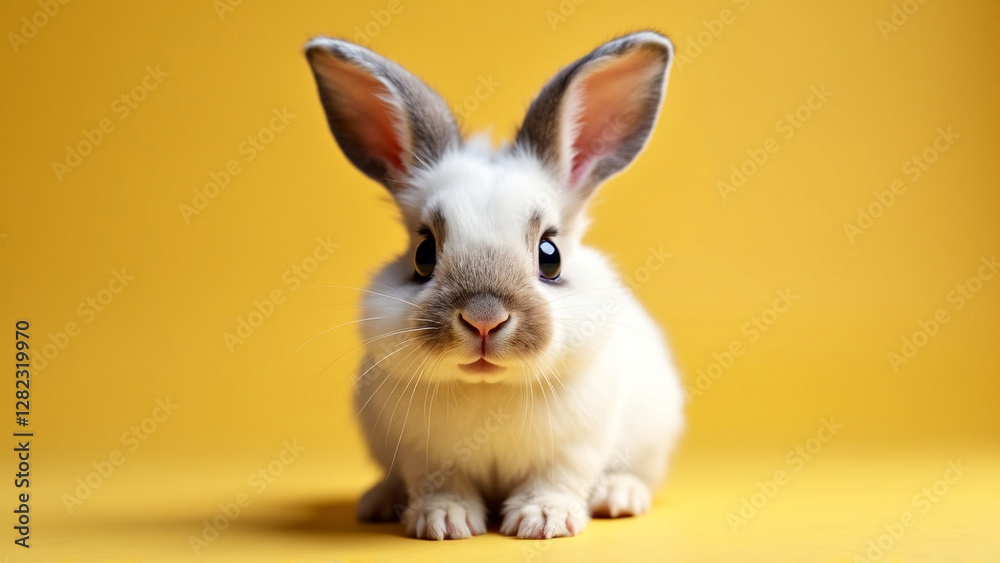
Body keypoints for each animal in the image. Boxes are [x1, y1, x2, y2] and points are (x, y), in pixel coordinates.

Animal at [304, 30, 684, 540]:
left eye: (550, 255)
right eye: (424, 254)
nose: (484, 319)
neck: (490, 388)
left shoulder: (576, 444)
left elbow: (557, 478)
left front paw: (542, 520)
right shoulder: (424, 452)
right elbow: (440, 484)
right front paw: (443, 522)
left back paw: (619, 496)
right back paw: (380, 501)